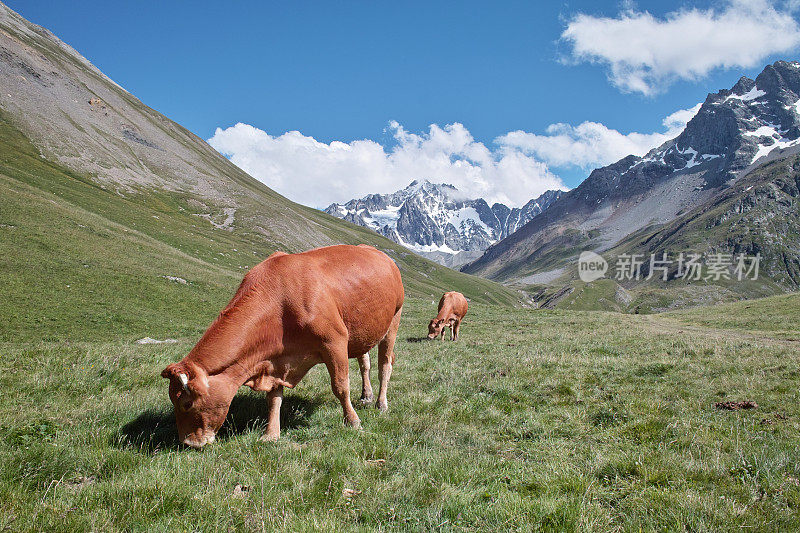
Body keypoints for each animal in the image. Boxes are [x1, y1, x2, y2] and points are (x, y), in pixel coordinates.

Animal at [161, 244, 406, 444]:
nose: (188, 443)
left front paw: (353, 422)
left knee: (384, 366)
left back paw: (381, 403)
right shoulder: (276, 360)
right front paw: (271, 434)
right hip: (361, 330)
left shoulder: (334, 341)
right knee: (365, 362)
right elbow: (273, 399)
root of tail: (383, 256)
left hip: (393, 320)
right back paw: (366, 396)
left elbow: (340, 386)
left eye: (187, 404)